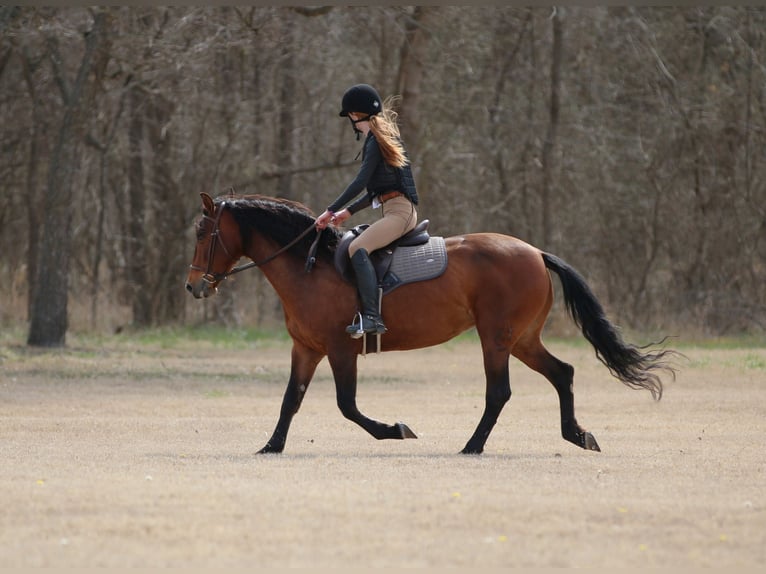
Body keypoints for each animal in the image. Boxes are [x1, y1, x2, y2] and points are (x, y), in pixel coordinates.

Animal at [186, 192, 680, 454]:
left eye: (202, 233)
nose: (194, 287)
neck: (310, 267)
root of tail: (535, 252)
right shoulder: (306, 348)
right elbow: (292, 400)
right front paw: (271, 446)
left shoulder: (341, 349)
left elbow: (347, 405)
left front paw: (394, 430)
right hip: (522, 339)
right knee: (563, 373)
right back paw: (577, 435)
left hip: (496, 338)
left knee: (500, 391)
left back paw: (473, 446)